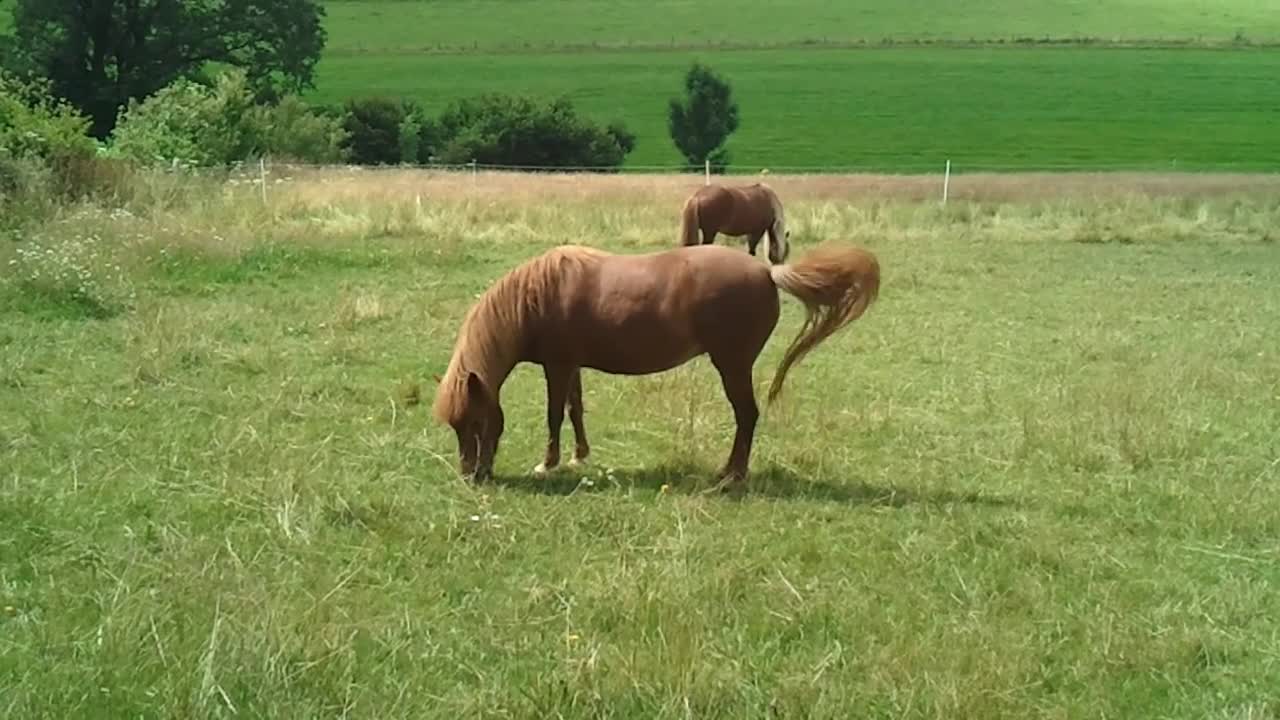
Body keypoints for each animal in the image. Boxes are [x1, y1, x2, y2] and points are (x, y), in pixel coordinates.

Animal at [430, 240, 880, 486]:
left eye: (475, 422)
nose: (472, 475)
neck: (536, 298)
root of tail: (768, 273)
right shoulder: (572, 365)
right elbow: (576, 410)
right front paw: (578, 456)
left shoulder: (556, 366)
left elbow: (554, 414)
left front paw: (547, 463)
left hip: (732, 365)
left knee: (747, 416)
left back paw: (730, 476)